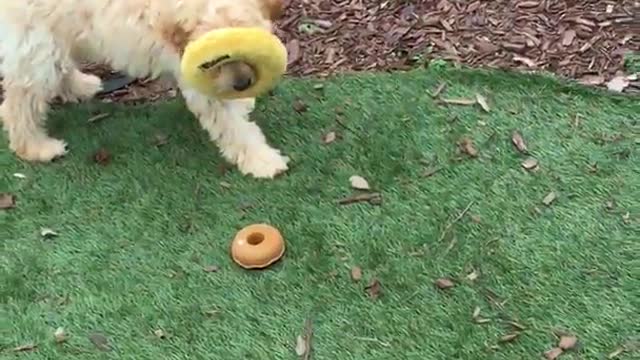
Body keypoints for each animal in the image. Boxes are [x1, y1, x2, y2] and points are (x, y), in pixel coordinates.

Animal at [0, 0, 290, 179]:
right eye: (213, 60)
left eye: (251, 48)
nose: (241, 84)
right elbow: (232, 126)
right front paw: (262, 161)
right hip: (37, 45)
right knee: (17, 104)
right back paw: (36, 147)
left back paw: (80, 85)